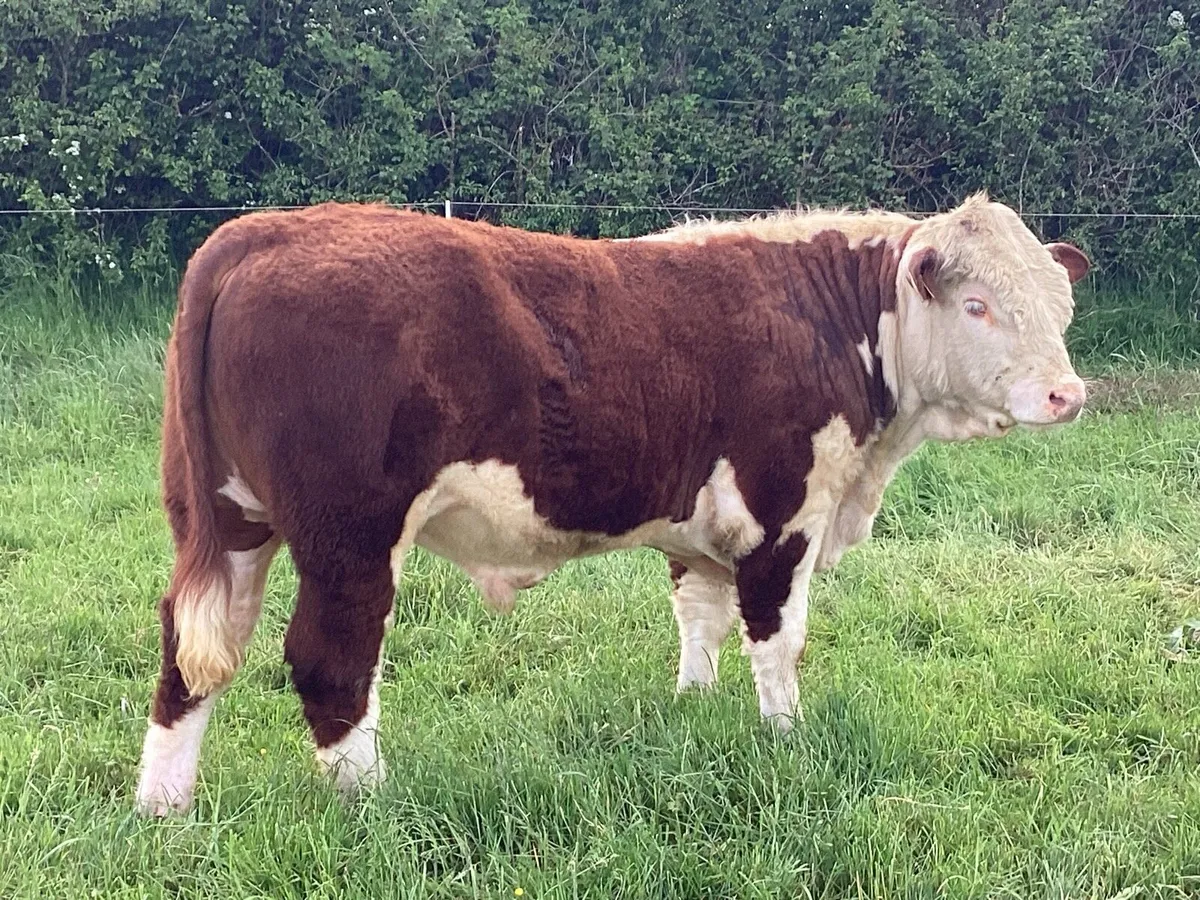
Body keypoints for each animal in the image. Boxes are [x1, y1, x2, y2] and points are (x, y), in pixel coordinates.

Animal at [135, 194, 1090, 815]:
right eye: (979, 305)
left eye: (1062, 304)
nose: (1067, 395)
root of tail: (259, 233)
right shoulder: (783, 513)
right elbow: (777, 641)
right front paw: (787, 739)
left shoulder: (700, 527)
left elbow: (700, 618)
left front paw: (694, 709)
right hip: (351, 536)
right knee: (330, 659)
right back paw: (371, 804)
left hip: (229, 521)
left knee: (191, 652)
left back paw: (163, 808)